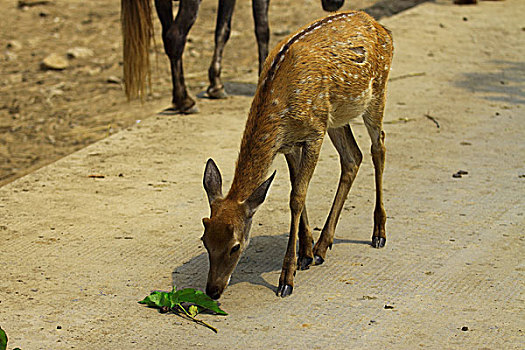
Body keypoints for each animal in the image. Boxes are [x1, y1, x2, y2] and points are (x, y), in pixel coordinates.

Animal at [201, 10, 392, 298]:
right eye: (204, 240)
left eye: (235, 246)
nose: (212, 290)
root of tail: (379, 25)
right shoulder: (290, 144)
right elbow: (296, 189)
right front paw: (306, 253)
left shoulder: (313, 133)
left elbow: (297, 197)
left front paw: (287, 278)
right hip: (336, 118)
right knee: (353, 157)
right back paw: (323, 246)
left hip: (377, 92)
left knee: (378, 147)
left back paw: (378, 233)